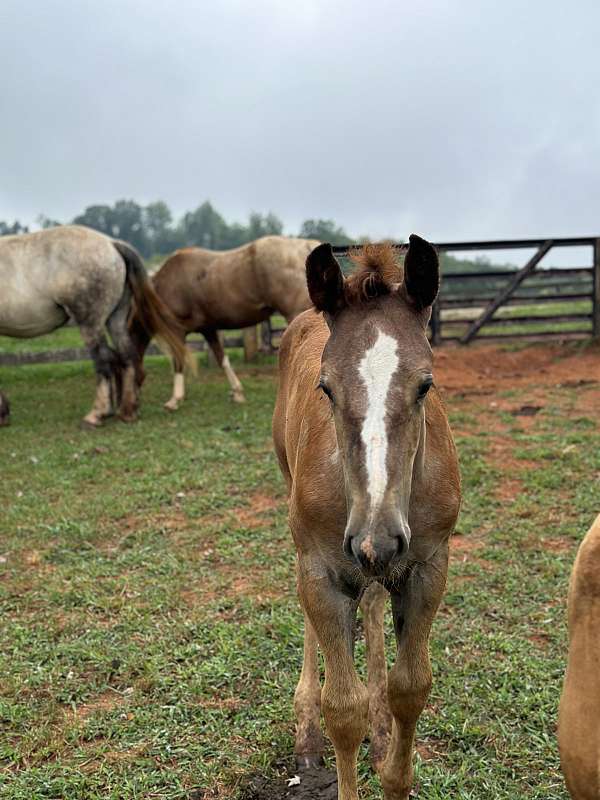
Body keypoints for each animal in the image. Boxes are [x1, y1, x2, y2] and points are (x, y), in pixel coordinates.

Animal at [0, 225, 186, 424]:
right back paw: (128, 411)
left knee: (103, 360)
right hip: (116, 319)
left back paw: (97, 414)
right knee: (126, 355)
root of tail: (111, 244)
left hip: (90, 324)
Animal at [129, 231, 322, 406]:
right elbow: (222, 358)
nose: (132, 402)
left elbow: (178, 361)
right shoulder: (208, 330)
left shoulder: (177, 331)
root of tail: (306, 246)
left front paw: (174, 399)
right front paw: (237, 392)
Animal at [274, 234, 462, 796]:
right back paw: (307, 731)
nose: (375, 537)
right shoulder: (322, 569)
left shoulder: (427, 565)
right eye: (326, 388)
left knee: (375, 601)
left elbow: (411, 687)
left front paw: (392, 762)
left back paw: (379, 729)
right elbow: (341, 707)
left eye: (425, 385)